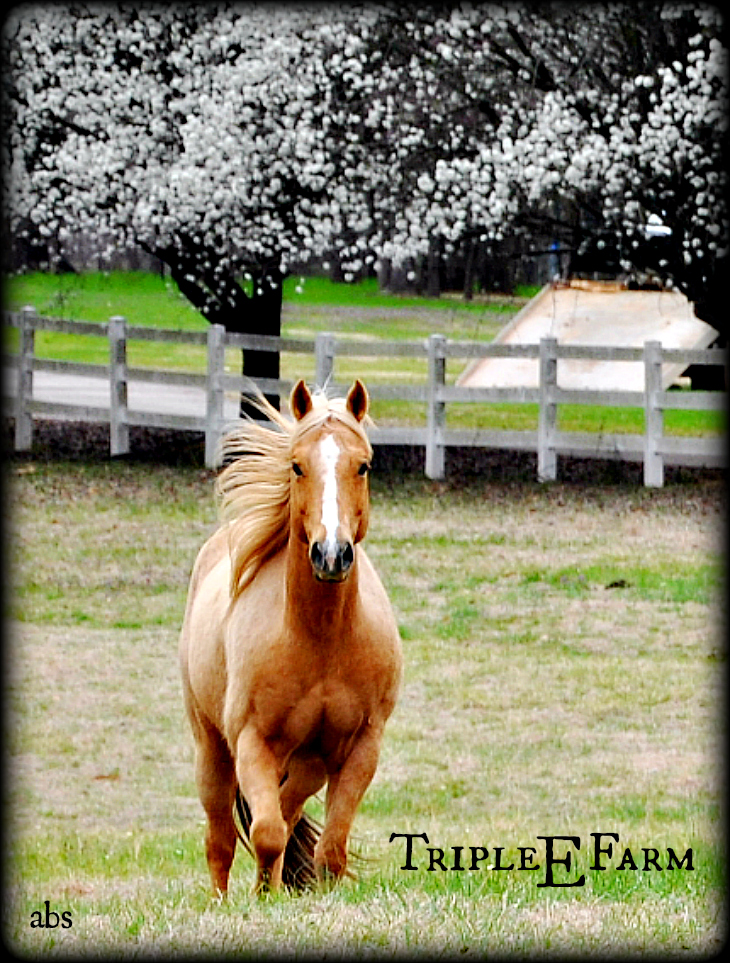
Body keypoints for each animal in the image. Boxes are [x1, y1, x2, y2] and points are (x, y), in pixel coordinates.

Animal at [179, 379, 403, 895]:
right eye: (297, 465)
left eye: (363, 465)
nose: (331, 554)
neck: (321, 639)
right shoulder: (253, 742)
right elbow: (265, 835)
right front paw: (264, 897)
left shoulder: (360, 747)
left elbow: (330, 849)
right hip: (212, 749)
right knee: (221, 840)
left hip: (307, 764)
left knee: (288, 811)